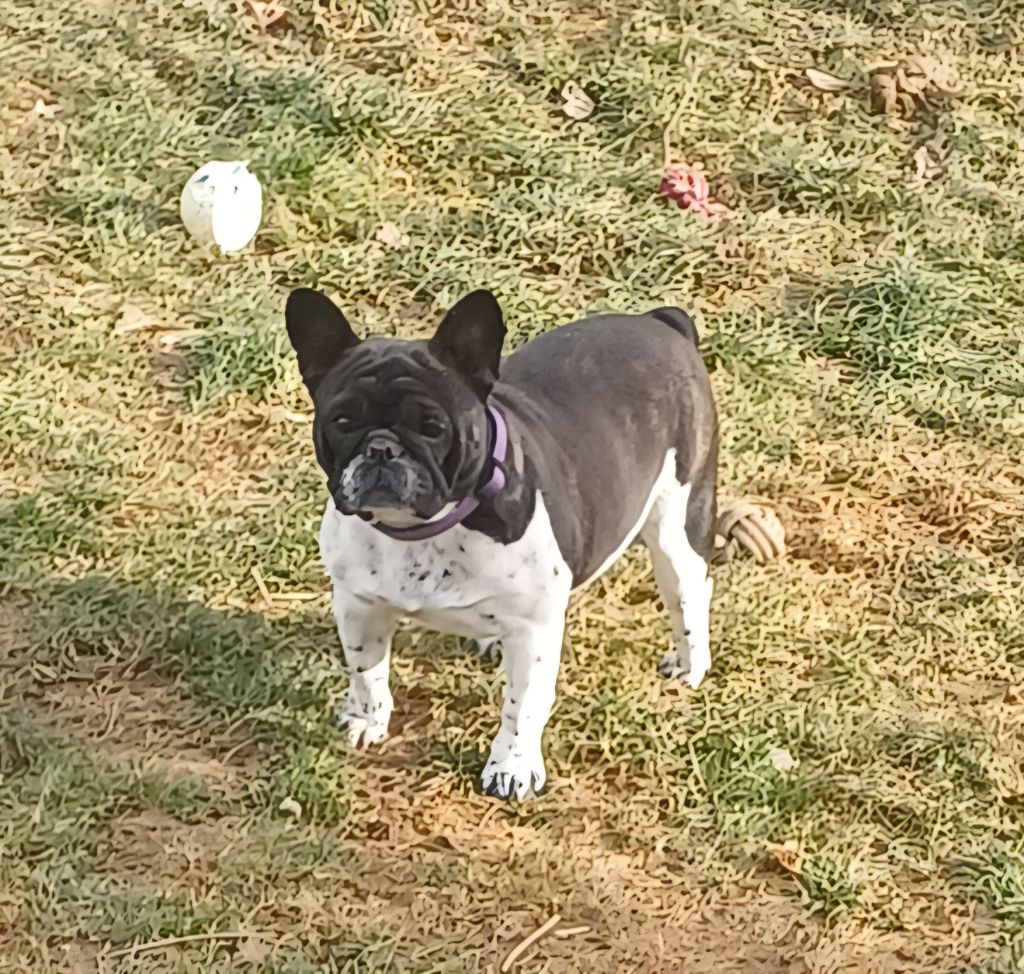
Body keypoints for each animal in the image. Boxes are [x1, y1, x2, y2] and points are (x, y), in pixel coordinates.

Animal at [284, 286, 716, 798]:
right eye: (344, 421)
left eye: (432, 427)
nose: (382, 447)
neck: (423, 529)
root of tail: (660, 322)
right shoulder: (358, 606)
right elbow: (365, 670)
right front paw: (367, 720)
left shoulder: (533, 632)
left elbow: (521, 707)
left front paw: (512, 767)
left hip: (675, 527)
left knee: (689, 591)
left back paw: (690, 664)